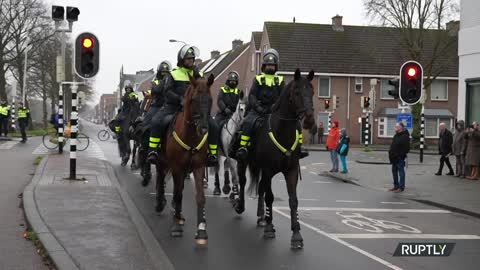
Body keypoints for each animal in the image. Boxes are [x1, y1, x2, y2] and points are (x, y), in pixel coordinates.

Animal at [155, 73, 215, 246]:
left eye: (210, 100)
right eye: (194, 100)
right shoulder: (177, 167)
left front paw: (201, 231)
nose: (203, 129)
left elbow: (200, 197)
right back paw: (160, 204)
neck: (191, 136)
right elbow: (177, 194)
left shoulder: (198, 167)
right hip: (162, 162)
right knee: (160, 180)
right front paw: (176, 226)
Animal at [235, 69, 316, 249]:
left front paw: (296, 234)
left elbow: (293, 200)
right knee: (243, 182)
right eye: (297, 92)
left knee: (260, 188)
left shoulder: (291, 171)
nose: (309, 120)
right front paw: (270, 228)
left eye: (312, 92)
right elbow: (270, 197)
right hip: (242, 162)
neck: (282, 133)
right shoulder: (268, 170)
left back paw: (261, 217)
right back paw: (241, 207)